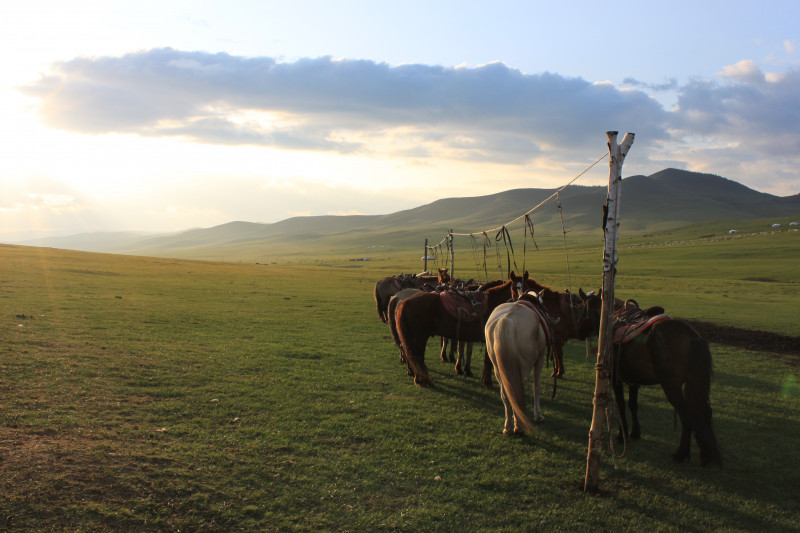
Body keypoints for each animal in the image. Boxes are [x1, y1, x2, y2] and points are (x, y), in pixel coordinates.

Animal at [484, 294, 552, 434]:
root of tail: (505, 321)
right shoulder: (540, 358)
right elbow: (536, 387)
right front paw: (538, 416)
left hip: (498, 369)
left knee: (506, 394)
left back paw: (508, 427)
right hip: (525, 367)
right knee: (516, 392)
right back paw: (519, 426)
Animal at [612, 300, 724, 466]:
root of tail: (693, 337)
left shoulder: (615, 378)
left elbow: (621, 405)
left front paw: (622, 435)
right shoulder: (634, 380)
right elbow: (632, 404)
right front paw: (635, 433)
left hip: (671, 387)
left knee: (686, 415)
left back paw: (681, 454)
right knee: (703, 411)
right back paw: (706, 455)